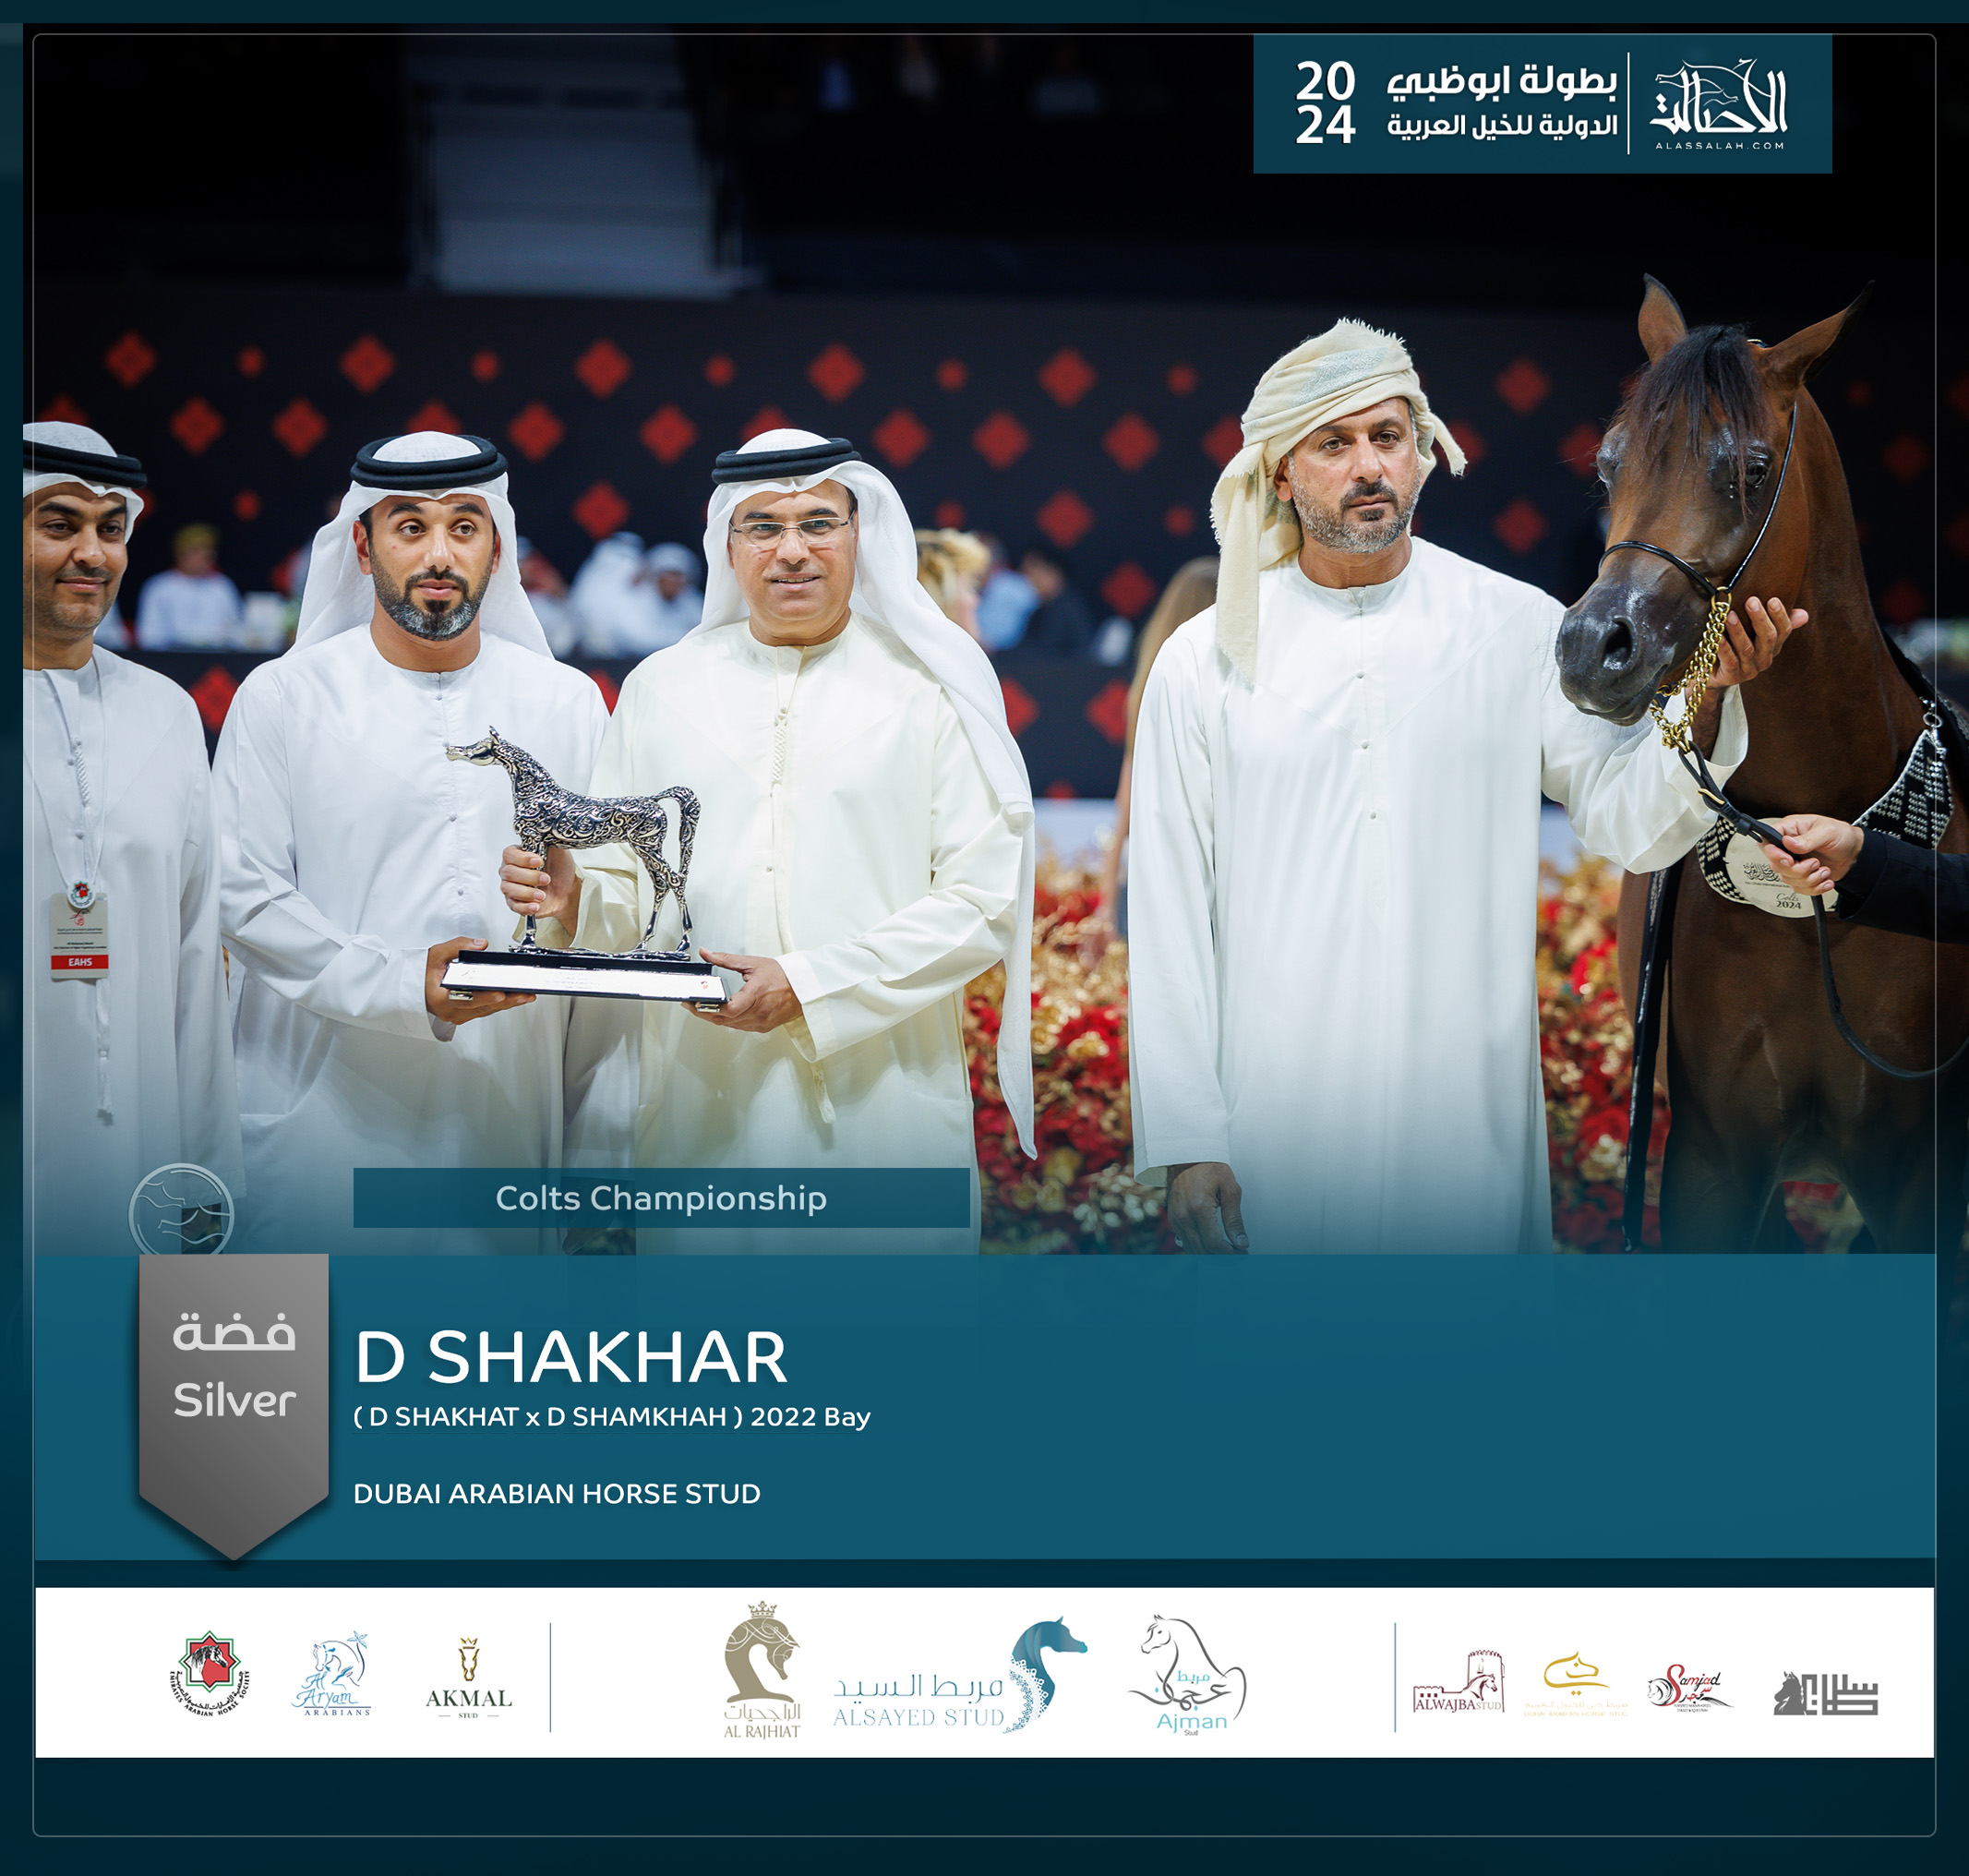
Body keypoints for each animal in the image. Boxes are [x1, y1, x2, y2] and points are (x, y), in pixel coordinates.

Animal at [443, 727, 701, 960]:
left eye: (481, 745)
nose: (451, 750)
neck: (536, 792)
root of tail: (654, 800)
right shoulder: (541, 846)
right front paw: (530, 941)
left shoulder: (532, 839)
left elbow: (533, 888)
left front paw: (528, 943)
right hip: (645, 849)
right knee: (661, 885)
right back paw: (643, 946)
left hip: (646, 846)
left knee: (676, 881)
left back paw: (681, 945)